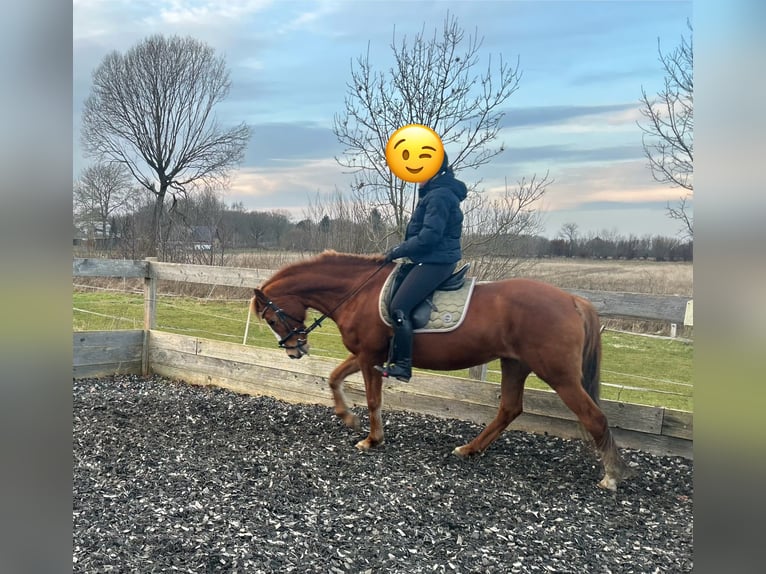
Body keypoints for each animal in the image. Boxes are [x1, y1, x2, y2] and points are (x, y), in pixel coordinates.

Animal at [252, 250, 636, 492]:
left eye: (271, 317)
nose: (295, 350)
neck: (358, 292)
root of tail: (573, 300)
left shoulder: (370, 356)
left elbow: (374, 400)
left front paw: (372, 439)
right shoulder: (364, 354)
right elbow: (333, 378)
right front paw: (347, 417)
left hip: (558, 374)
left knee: (593, 417)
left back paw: (612, 477)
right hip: (515, 363)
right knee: (509, 409)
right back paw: (469, 449)